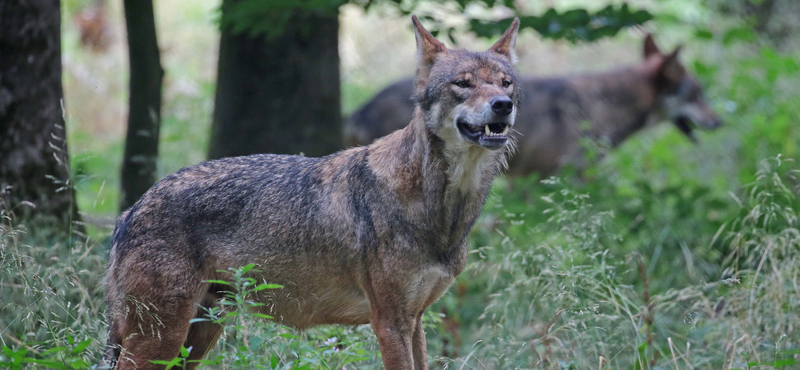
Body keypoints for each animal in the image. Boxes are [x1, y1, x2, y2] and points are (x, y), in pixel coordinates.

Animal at [103, 15, 520, 370]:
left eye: (505, 83)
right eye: (463, 84)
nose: (503, 105)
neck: (441, 209)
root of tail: (131, 210)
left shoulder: (415, 320)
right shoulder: (389, 322)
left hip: (195, 337)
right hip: (161, 338)